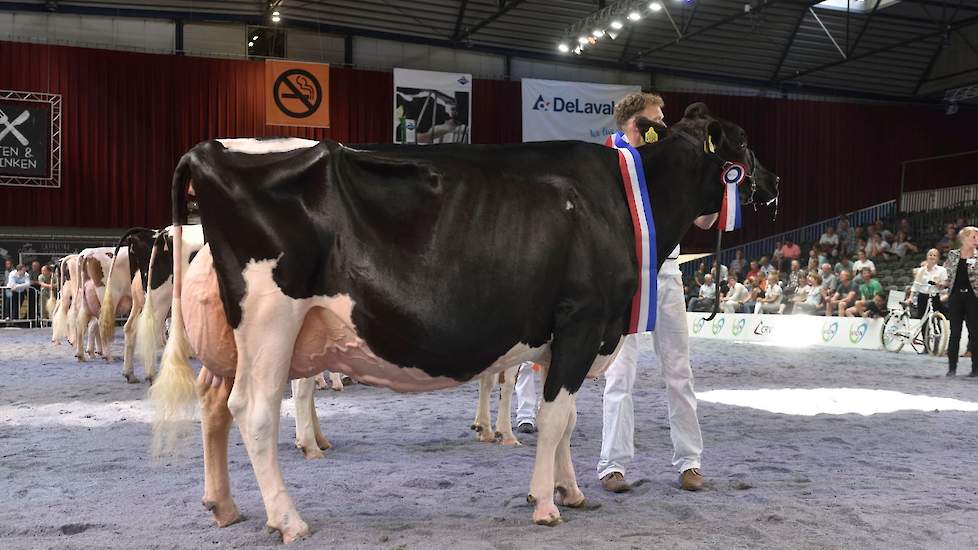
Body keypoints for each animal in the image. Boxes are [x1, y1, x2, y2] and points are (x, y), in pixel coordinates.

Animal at [152, 103, 776, 544]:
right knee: (253, 412)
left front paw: (570, 491)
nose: (774, 186)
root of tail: (208, 149)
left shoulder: (563, 338)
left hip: (233, 337)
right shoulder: (581, 318)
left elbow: (567, 418)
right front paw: (544, 504)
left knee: (214, 405)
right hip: (271, 320)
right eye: (743, 143)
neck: (620, 200)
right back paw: (288, 520)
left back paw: (225, 507)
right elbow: (554, 419)